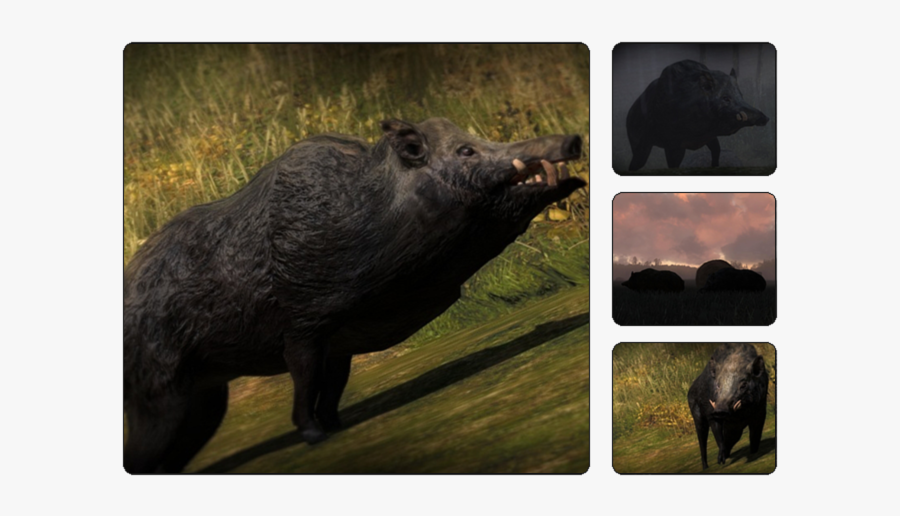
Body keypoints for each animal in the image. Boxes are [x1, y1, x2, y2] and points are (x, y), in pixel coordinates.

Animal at [123, 117, 585, 473]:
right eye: (466, 150)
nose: (574, 140)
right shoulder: (303, 324)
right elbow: (306, 380)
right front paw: (315, 436)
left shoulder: (340, 337)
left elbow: (333, 387)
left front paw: (338, 426)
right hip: (160, 391)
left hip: (206, 397)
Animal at [626, 60, 769, 171]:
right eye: (725, 98)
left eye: (741, 95)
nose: (765, 118)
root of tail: (629, 114)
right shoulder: (673, 143)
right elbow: (673, 165)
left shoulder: (710, 137)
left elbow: (716, 150)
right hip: (639, 143)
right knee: (636, 162)